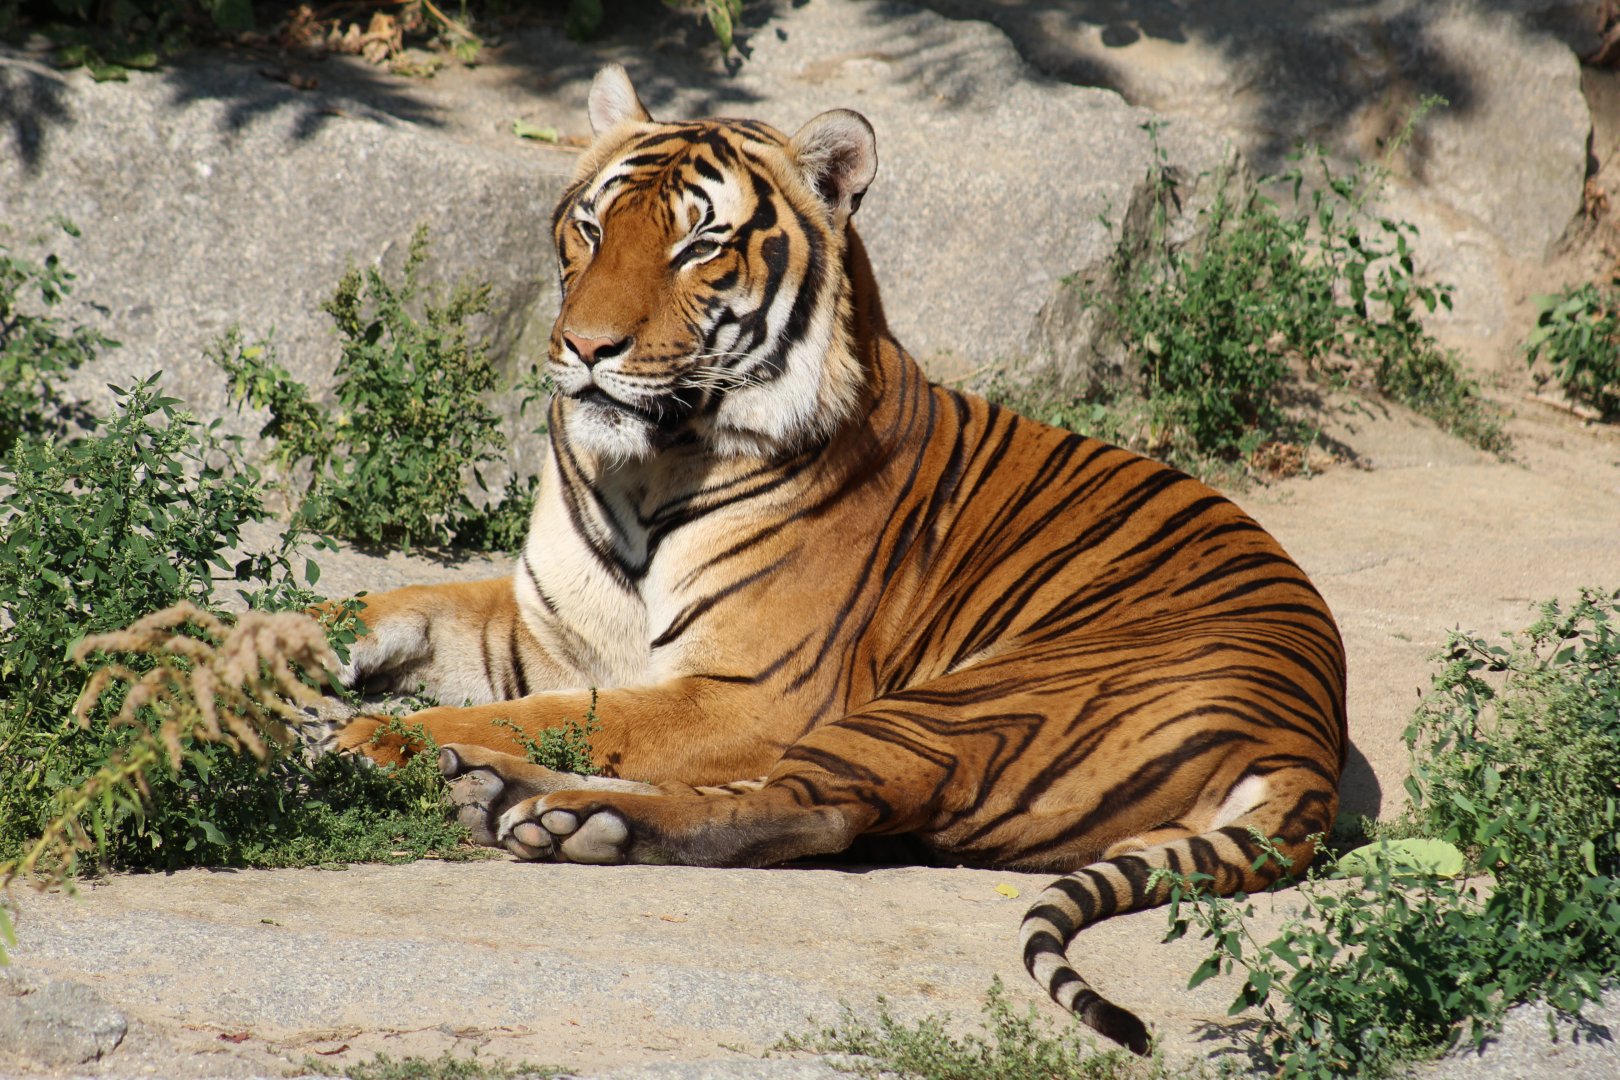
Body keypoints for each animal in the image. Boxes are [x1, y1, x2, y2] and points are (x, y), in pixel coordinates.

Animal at [319, 63, 1347, 1055]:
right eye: (592, 226)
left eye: (699, 247)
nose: (584, 346)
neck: (642, 466)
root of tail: (1308, 739)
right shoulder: (547, 629)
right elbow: (406, 606)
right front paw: (296, 652)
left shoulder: (751, 690)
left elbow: (551, 715)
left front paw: (375, 738)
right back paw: (499, 794)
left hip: (957, 706)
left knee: (808, 808)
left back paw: (561, 817)